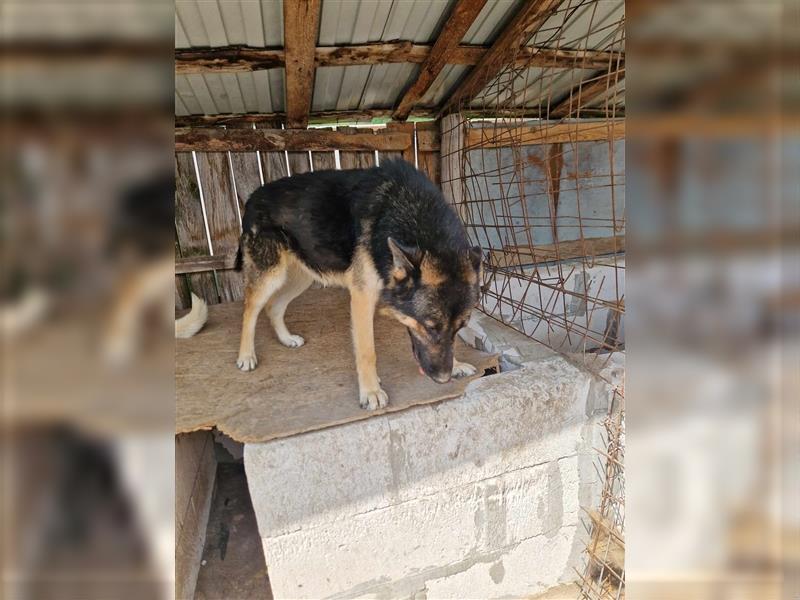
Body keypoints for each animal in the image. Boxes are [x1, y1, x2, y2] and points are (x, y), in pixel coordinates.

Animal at [231, 162, 482, 410]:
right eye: (430, 327)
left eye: (460, 327)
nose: (443, 379)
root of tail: (253, 196)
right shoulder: (363, 297)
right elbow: (367, 351)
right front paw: (371, 392)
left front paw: (457, 364)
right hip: (269, 277)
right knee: (250, 310)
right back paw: (246, 356)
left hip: (302, 277)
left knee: (274, 307)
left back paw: (286, 339)